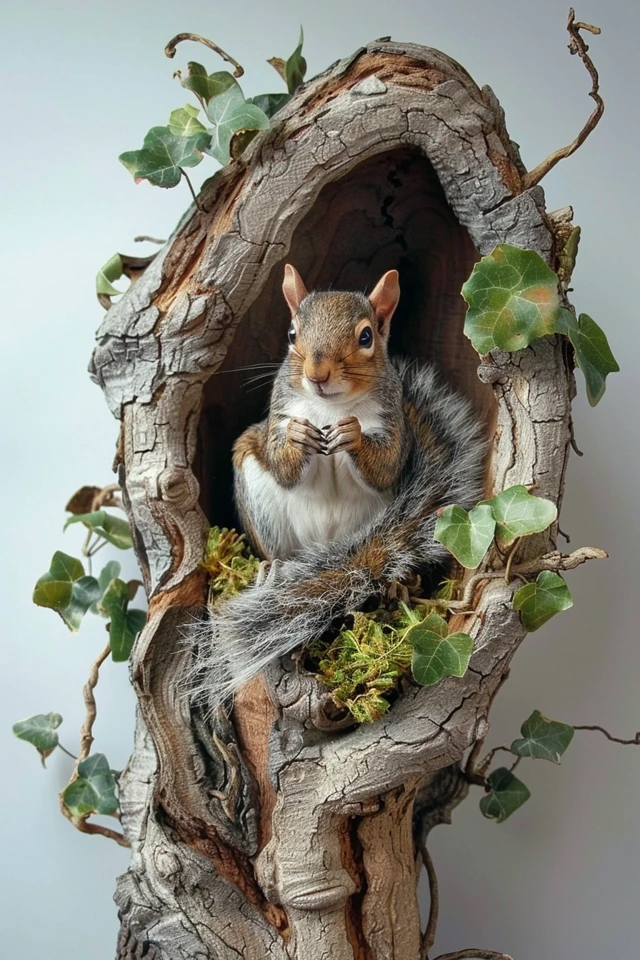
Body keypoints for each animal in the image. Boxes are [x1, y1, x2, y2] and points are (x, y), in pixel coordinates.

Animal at [194, 265, 486, 713]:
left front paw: (353, 436)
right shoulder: (278, 416)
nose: (317, 375)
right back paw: (271, 569)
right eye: (292, 333)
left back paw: (394, 581)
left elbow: (386, 467)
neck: (329, 407)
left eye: (366, 337)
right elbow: (283, 465)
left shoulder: (394, 431)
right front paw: (298, 438)